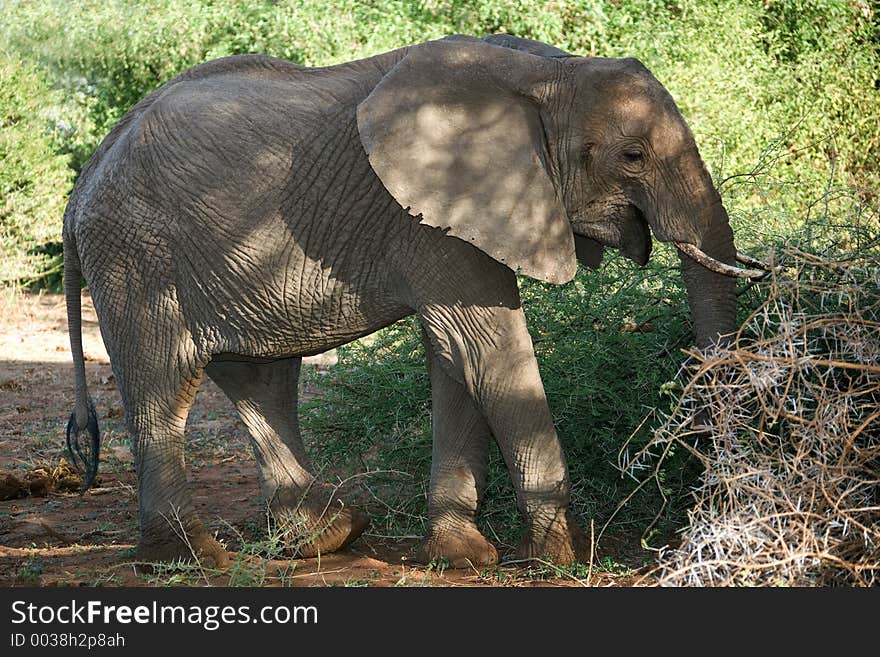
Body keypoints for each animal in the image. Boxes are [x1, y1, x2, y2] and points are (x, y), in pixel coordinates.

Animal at [62, 33, 768, 568]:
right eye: (633, 155)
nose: (707, 508)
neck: (549, 70)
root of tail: (88, 171)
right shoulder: (430, 220)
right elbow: (489, 351)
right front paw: (558, 558)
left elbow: (456, 360)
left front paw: (460, 556)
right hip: (135, 255)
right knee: (164, 384)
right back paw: (193, 559)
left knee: (259, 379)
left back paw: (329, 537)